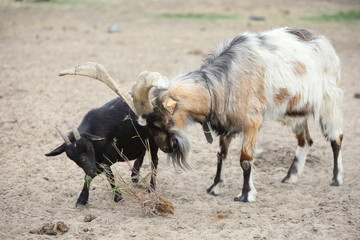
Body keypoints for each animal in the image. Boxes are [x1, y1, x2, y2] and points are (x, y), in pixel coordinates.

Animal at [60, 27, 344, 202]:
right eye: (146, 125)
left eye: (161, 120)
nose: (165, 148)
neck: (222, 82)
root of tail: (322, 42)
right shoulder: (228, 126)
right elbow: (221, 155)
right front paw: (214, 188)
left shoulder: (252, 123)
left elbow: (245, 159)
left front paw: (245, 195)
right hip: (295, 111)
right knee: (305, 140)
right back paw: (290, 177)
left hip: (328, 100)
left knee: (336, 138)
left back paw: (336, 178)